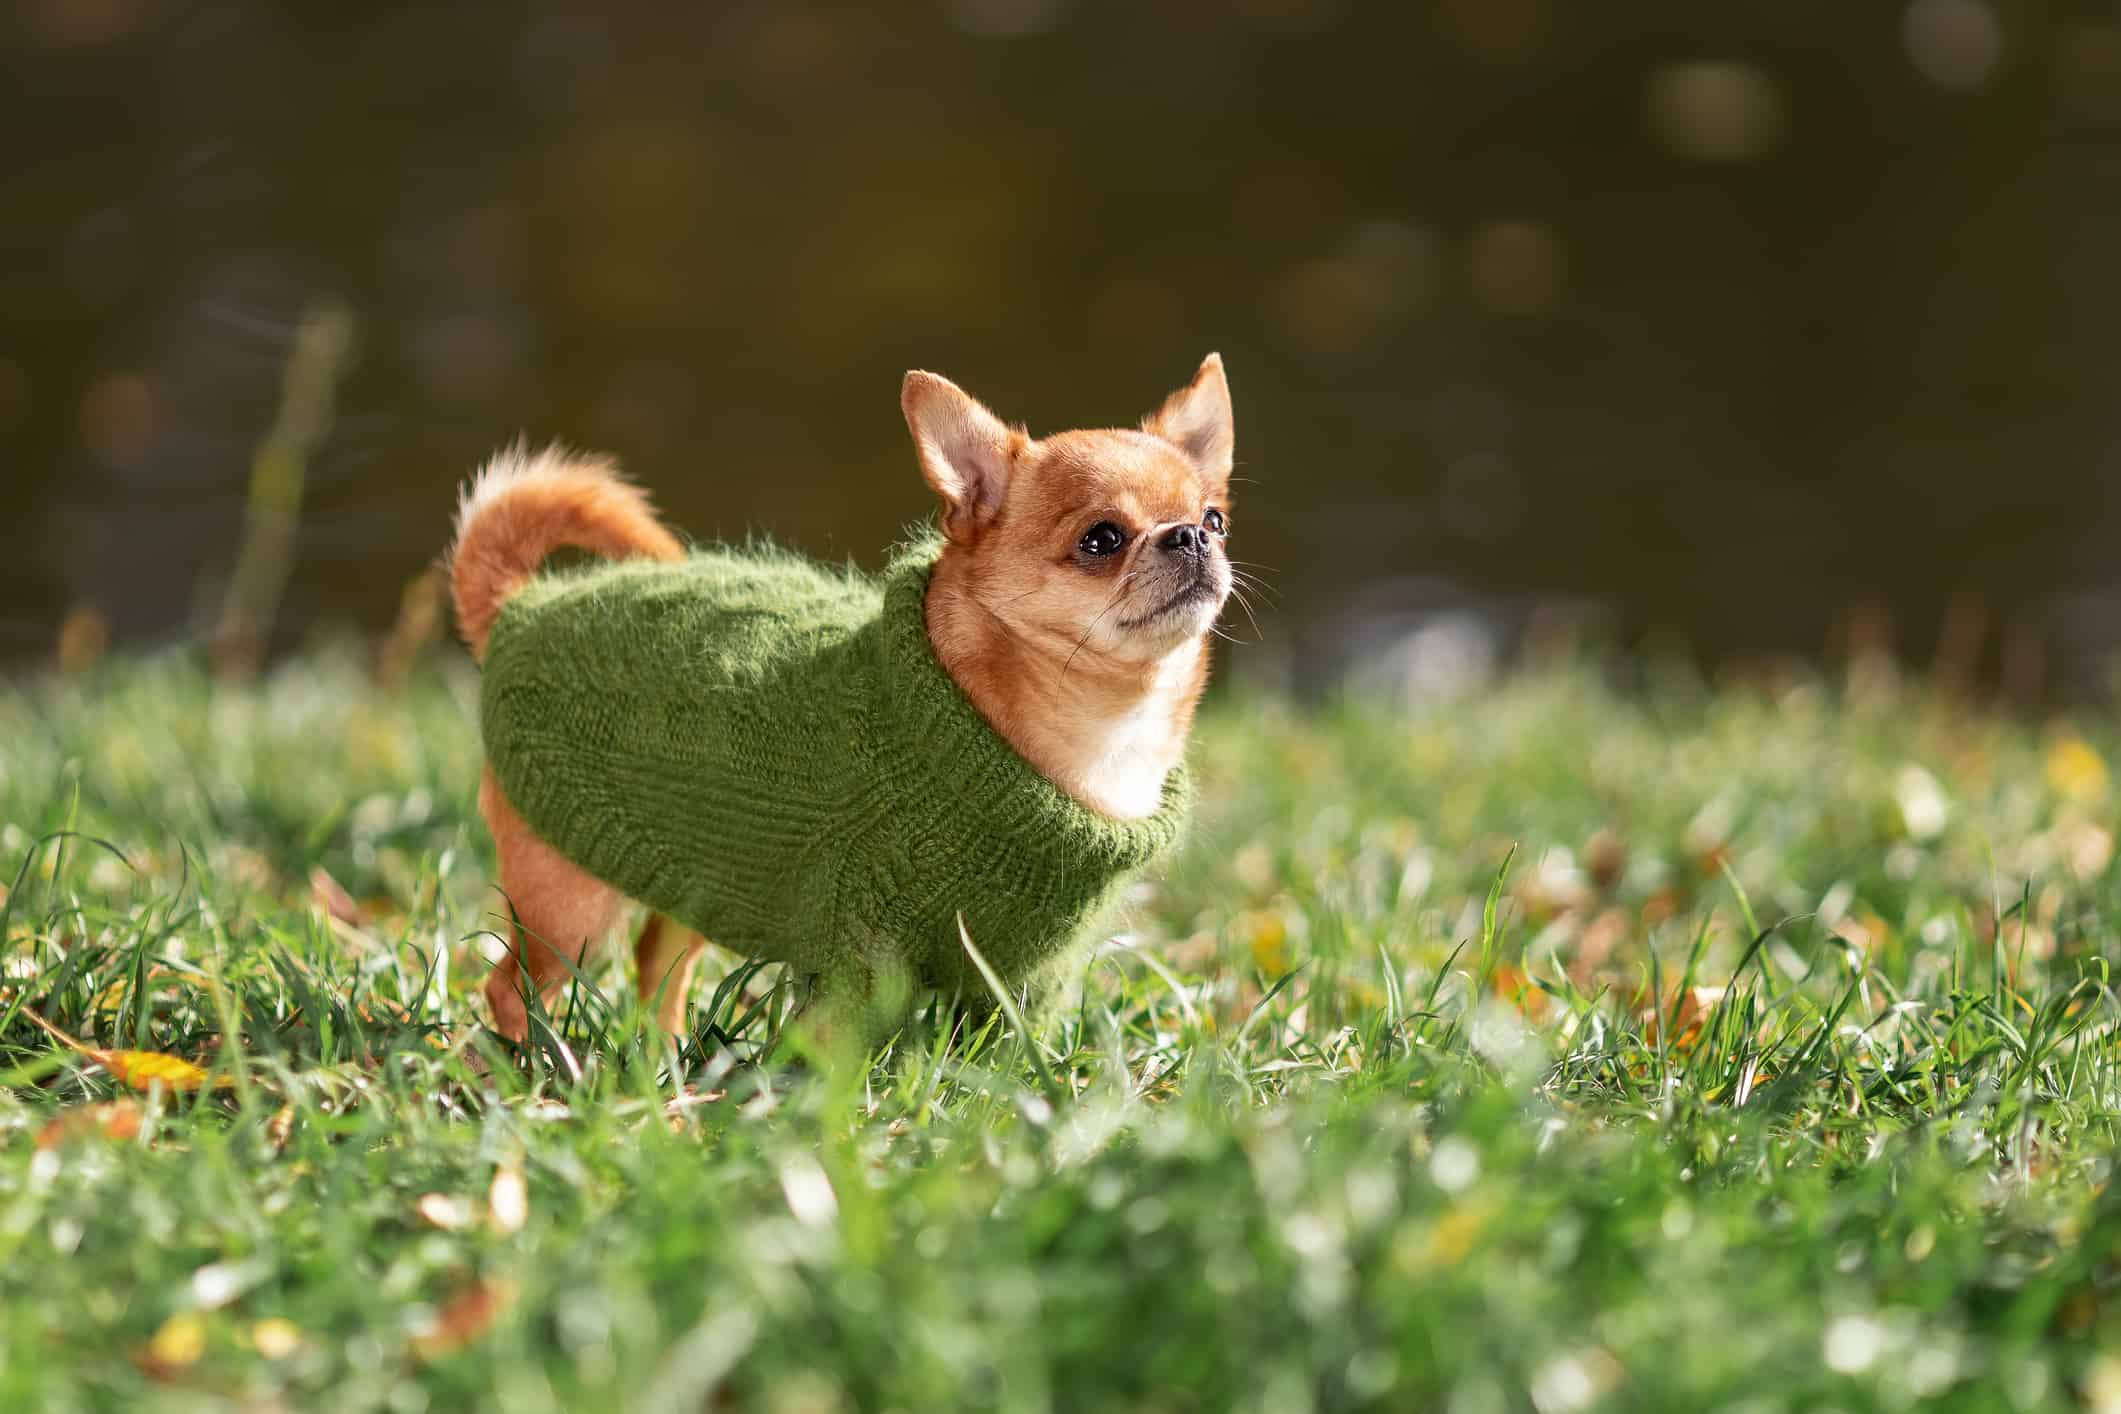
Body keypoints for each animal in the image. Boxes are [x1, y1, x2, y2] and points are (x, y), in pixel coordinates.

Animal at [456, 356, 1238, 1038]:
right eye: (1100, 539)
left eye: (1216, 518)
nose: (1190, 537)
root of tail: (517, 606)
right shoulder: (859, 956)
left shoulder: (1024, 981)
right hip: (571, 909)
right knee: (509, 988)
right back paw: (536, 1071)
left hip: (691, 875)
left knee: (656, 968)